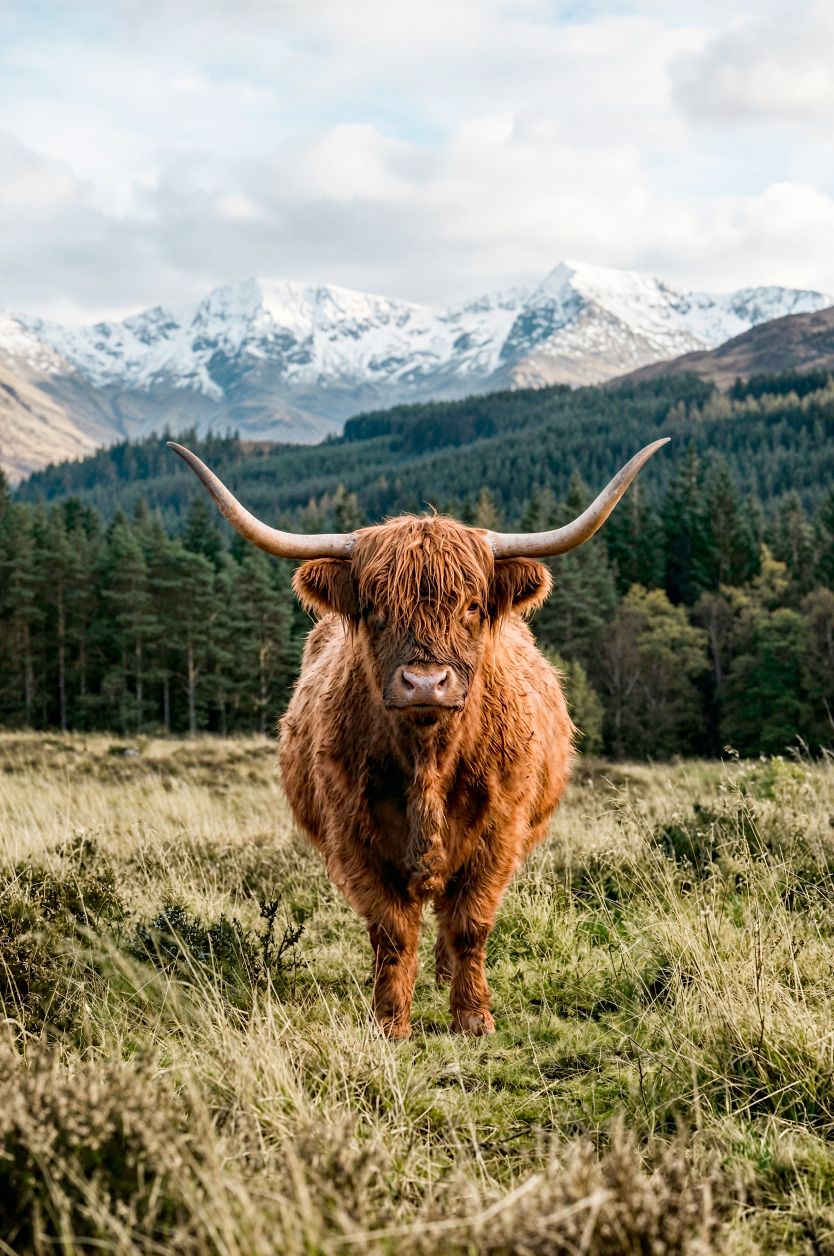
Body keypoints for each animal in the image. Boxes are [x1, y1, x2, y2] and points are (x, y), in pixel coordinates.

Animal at [169, 437, 668, 1037]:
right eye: (377, 609)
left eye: (472, 605)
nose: (425, 682)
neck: (429, 757)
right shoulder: (355, 835)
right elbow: (390, 930)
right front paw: (390, 1019)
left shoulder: (499, 832)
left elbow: (470, 923)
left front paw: (473, 1016)